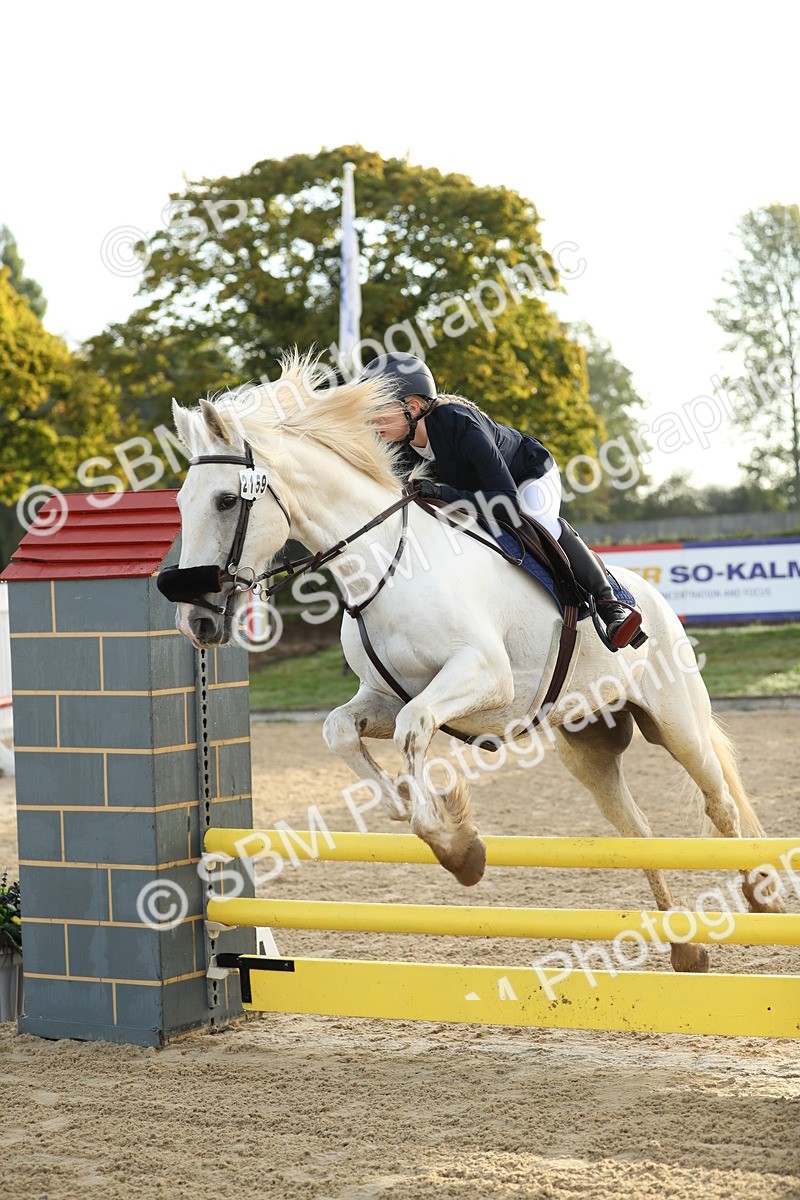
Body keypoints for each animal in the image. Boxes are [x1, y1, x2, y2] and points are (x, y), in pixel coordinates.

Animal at [167, 352, 784, 973]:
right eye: (179, 505)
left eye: (225, 501)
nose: (197, 622)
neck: (385, 562)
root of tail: (654, 599)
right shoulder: (384, 696)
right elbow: (342, 732)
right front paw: (418, 811)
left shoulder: (483, 677)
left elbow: (415, 730)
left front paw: (457, 849)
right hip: (586, 743)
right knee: (636, 831)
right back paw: (686, 948)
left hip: (676, 724)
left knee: (720, 805)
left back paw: (761, 899)